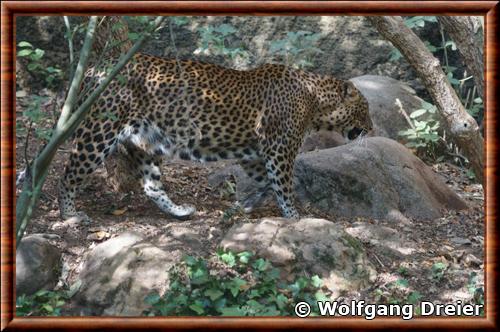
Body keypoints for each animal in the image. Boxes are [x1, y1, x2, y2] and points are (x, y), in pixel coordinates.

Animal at [57, 53, 372, 222]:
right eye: (365, 109)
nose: (371, 128)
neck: (316, 100)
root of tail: (96, 67)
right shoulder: (279, 150)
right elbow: (284, 185)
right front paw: (294, 217)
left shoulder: (255, 154)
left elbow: (265, 183)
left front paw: (245, 205)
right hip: (99, 132)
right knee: (69, 174)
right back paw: (69, 214)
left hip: (146, 143)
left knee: (151, 186)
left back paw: (180, 211)